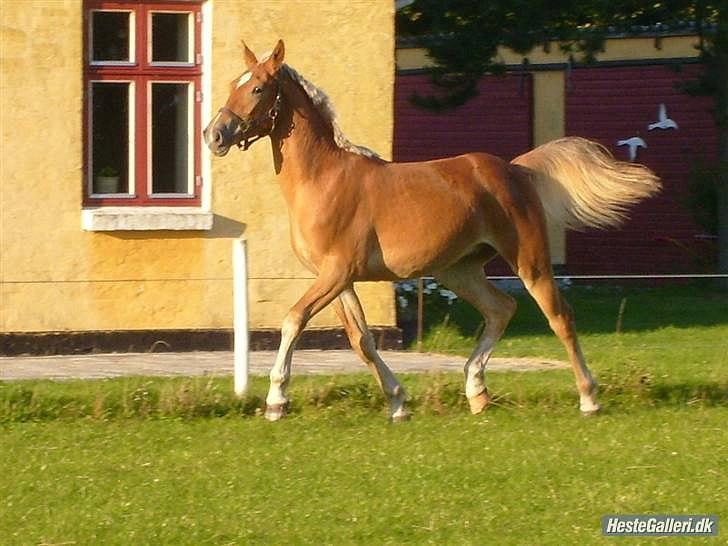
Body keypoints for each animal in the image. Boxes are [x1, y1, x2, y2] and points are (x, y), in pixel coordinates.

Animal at [203, 40, 660, 420]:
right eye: (232, 84)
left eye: (257, 88)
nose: (214, 134)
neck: (324, 179)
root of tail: (516, 169)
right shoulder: (338, 280)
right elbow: (361, 340)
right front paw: (398, 403)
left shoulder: (336, 272)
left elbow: (293, 320)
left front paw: (276, 401)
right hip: (458, 269)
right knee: (501, 308)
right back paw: (476, 391)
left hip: (529, 260)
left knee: (558, 315)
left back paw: (588, 398)